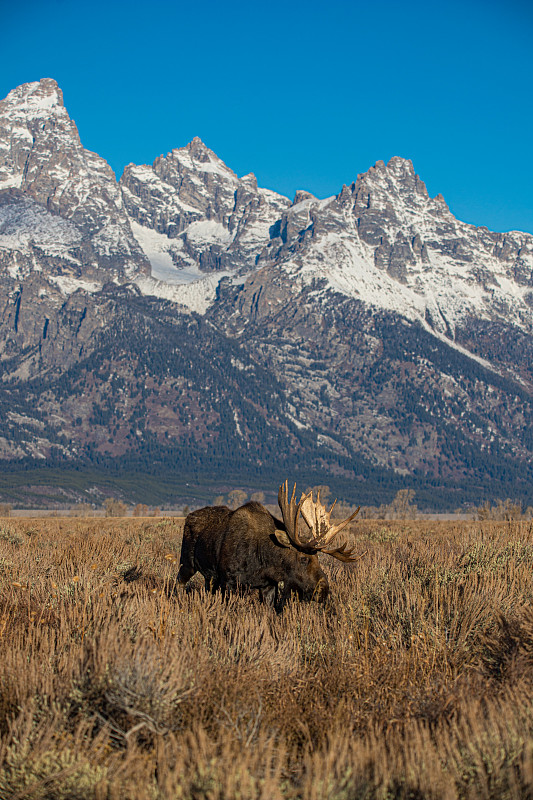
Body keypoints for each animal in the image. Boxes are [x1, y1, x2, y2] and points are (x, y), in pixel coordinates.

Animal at [177, 482, 360, 608]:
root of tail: (189, 516)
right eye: (303, 558)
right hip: (186, 563)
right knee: (179, 582)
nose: (323, 590)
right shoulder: (229, 581)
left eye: (317, 558)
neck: (265, 561)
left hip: (210, 577)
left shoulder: (269, 586)